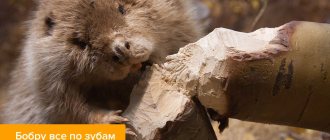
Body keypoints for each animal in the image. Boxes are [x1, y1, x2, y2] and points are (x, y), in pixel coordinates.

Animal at [2, 0, 202, 126]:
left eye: (121, 8)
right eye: (80, 41)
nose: (120, 50)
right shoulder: (42, 76)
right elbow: (65, 107)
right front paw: (115, 119)